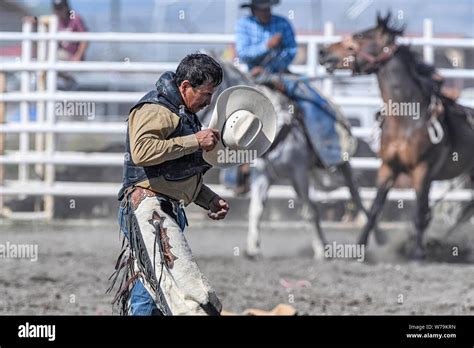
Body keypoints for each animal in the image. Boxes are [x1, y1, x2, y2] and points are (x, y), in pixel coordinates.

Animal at [318, 12, 474, 258]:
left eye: (360, 36)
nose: (324, 52)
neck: (408, 121)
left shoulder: (422, 171)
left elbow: (419, 212)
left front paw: (418, 253)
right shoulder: (388, 167)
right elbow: (375, 209)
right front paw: (359, 247)